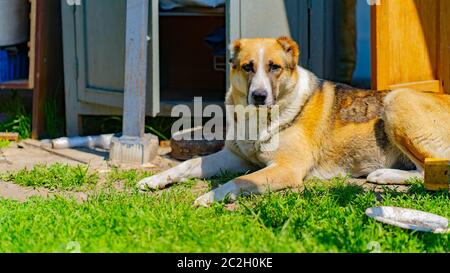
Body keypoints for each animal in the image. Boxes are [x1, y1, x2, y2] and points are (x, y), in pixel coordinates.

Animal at [138, 36, 450, 206]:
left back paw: (384, 174)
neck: (262, 119)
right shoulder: (234, 157)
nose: (259, 96)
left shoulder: (286, 169)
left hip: (396, 100)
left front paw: (210, 197)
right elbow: (188, 164)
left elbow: (238, 181)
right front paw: (155, 179)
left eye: (274, 67)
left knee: (432, 171)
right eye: (248, 67)